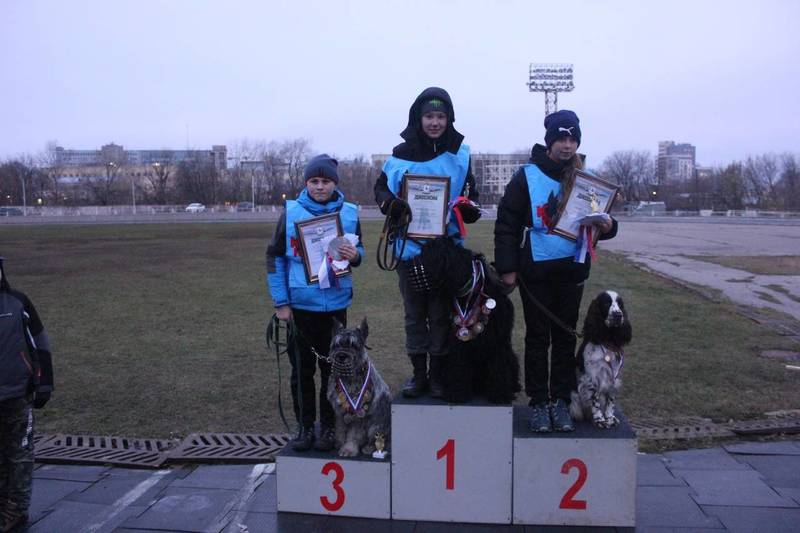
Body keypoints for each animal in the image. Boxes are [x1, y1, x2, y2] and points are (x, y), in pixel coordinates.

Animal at [326, 316, 392, 458]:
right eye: (337, 344)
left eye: (353, 345)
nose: (341, 356)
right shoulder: (340, 410)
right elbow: (340, 428)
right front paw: (339, 443)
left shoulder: (359, 413)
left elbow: (353, 434)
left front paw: (348, 449)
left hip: (376, 427)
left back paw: (368, 448)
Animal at [416, 237, 520, 404]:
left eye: (429, 255)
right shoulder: (458, 339)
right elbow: (459, 364)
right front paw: (457, 392)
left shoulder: (498, 340)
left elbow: (499, 363)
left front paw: (500, 394)